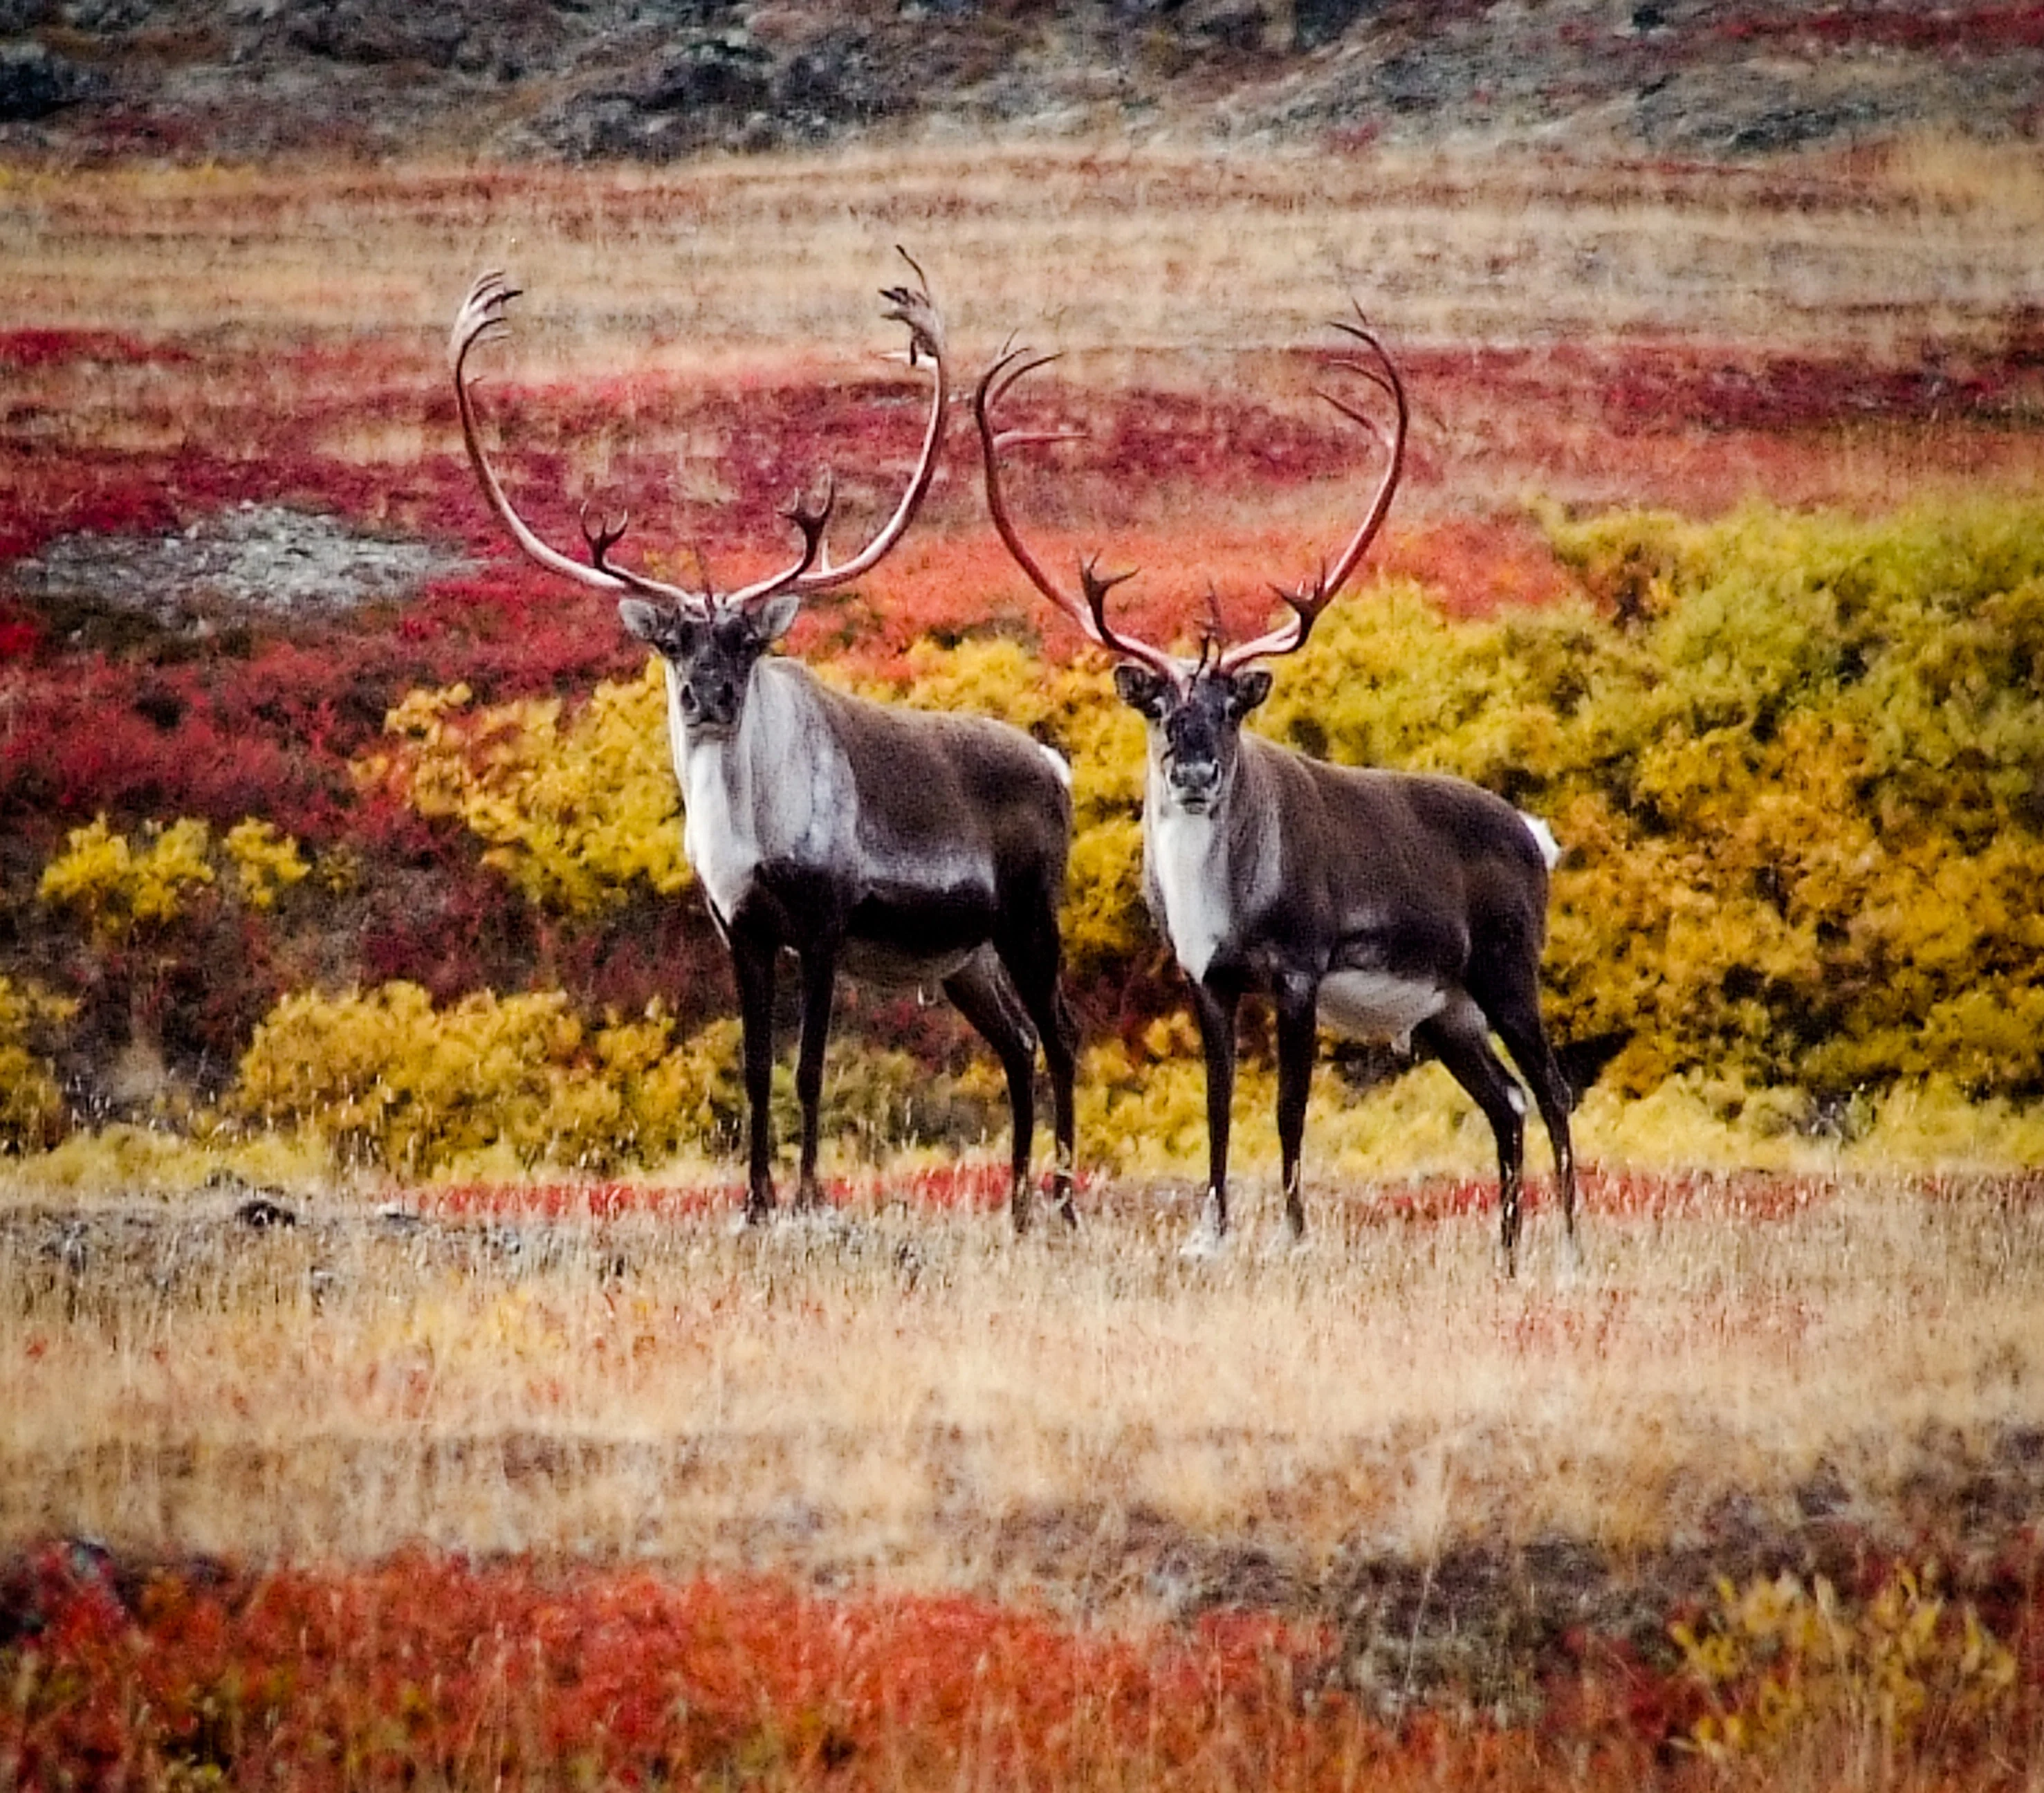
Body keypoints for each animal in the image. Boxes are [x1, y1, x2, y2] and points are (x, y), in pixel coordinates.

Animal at [450, 257, 1078, 1231]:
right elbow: (751, 1070)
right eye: (675, 642)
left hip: (1027, 920)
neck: (743, 829)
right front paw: (753, 1202)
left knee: (1062, 1038)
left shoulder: (822, 924)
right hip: (968, 958)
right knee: (1016, 1044)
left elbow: (809, 1069)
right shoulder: (738, 931)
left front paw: (813, 1196)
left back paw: (1063, 1200)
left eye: (746, 642)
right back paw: (1014, 1204)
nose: (706, 696)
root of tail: (1056, 763)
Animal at [973, 314, 1576, 1273]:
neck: (1221, 900)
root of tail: (1534, 832)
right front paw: (1209, 1233)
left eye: (1230, 708)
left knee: (1553, 1094)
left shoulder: (1299, 969)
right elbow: (1220, 1109)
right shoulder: (1207, 980)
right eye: (1160, 708)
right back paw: (1506, 1256)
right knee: (1507, 1104)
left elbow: (1290, 1111)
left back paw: (1567, 1252)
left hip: (1508, 971)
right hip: (1445, 1011)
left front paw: (1294, 1233)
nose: (1192, 774)